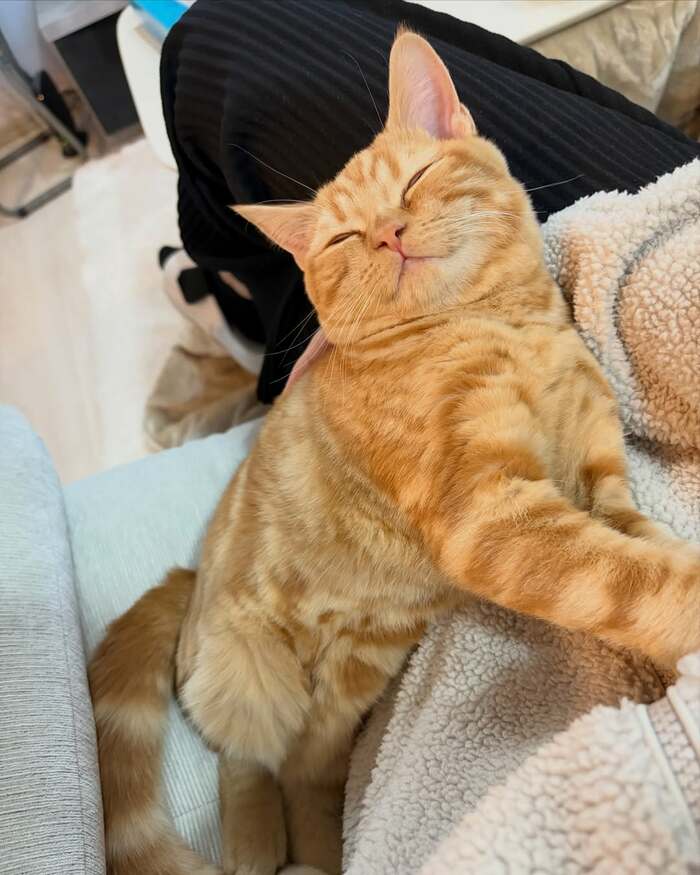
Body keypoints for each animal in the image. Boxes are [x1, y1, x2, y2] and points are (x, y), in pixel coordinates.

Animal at [89, 28, 700, 875]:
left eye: (416, 178)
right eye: (345, 237)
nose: (386, 233)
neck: (500, 324)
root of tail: (191, 574)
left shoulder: (599, 476)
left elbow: (639, 545)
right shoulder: (490, 515)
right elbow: (631, 577)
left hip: (364, 659)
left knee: (311, 761)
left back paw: (316, 849)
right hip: (252, 671)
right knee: (249, 757)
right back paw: (253, 842)